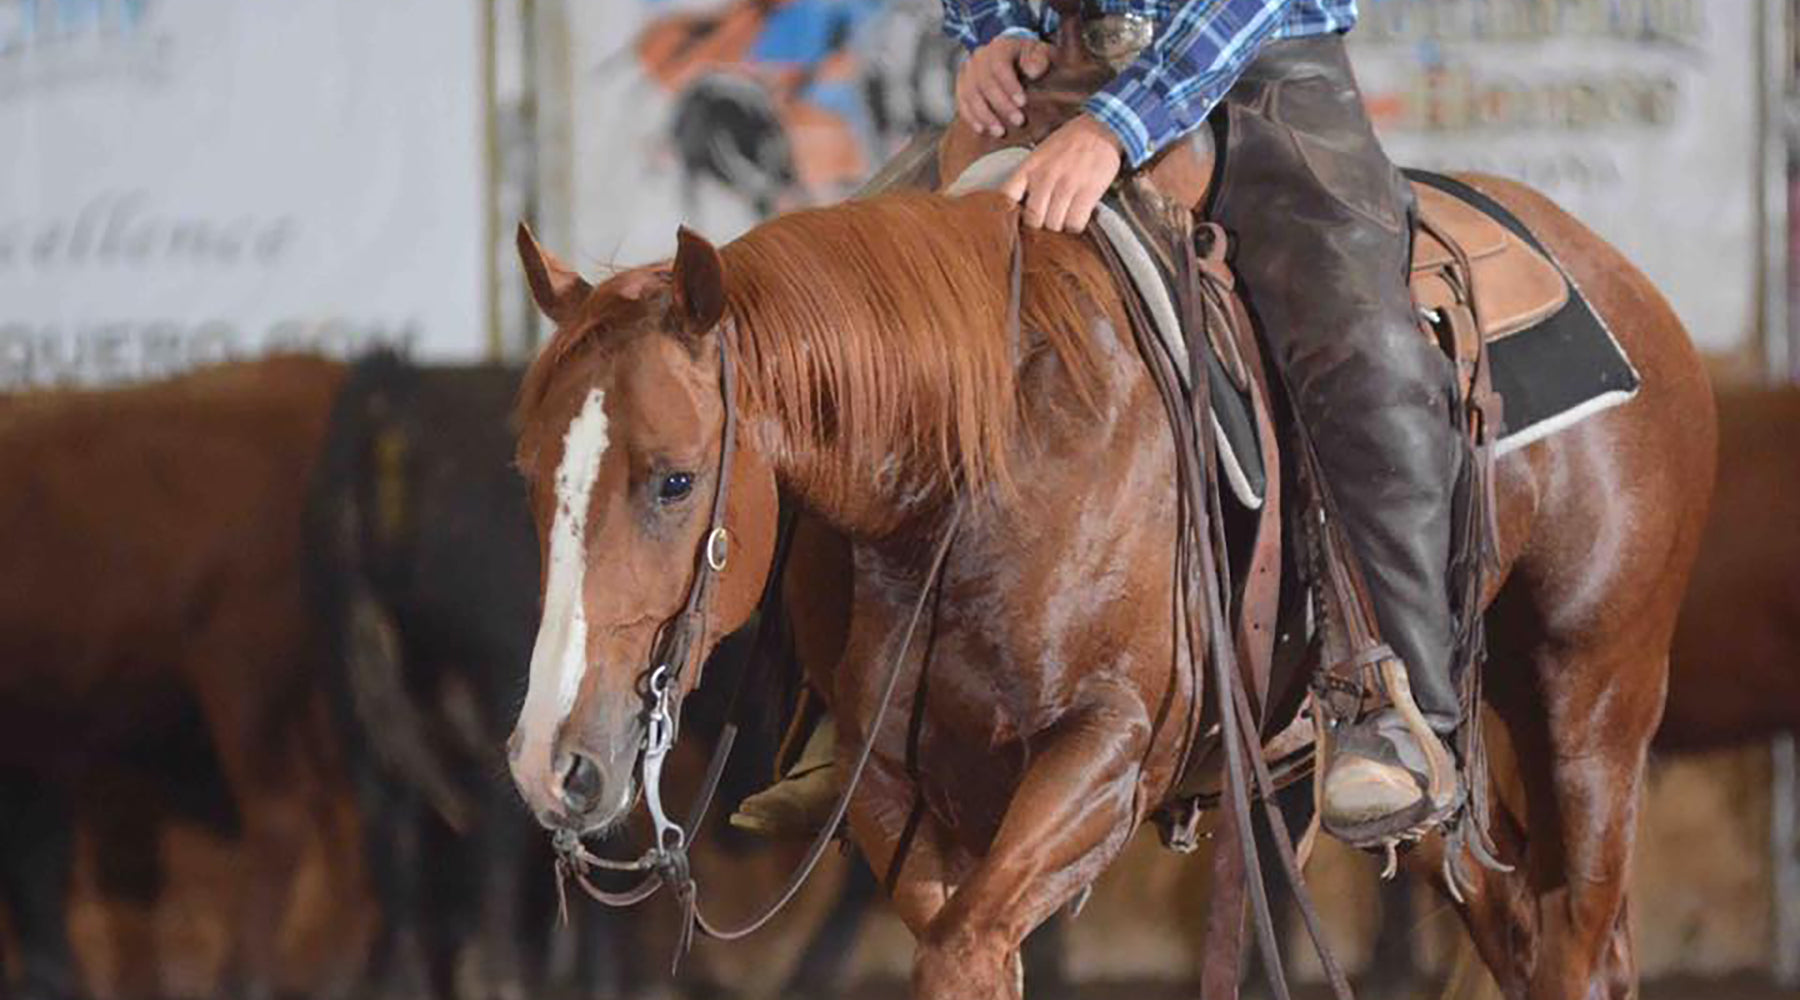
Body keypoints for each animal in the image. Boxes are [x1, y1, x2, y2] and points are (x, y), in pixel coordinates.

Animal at [502, 165, 1714, 1000]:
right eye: (528, 470)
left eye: (675, 478)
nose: (551, 764)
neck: (976, 468)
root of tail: (1616, 277)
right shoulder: (892, 785)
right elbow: (969, 948)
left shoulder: (1106, 753)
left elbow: (964, 953)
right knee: (1519, 924)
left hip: (1591, 697)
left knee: (1576, 943)